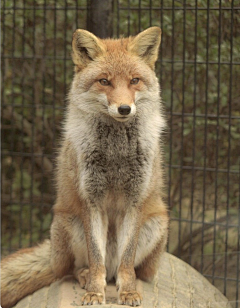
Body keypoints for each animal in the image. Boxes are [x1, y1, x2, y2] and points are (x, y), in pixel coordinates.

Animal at [1, 27, 169, 308]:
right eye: (104, 81)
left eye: (134, 80)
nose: (125, 108)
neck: (115, 153)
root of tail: (52, 255)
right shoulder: (91, 201)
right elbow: (95, 258)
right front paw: (94, 292)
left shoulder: (135, 201)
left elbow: (127, 261)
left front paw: (128, 291)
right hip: (69, 223)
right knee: (71, 270)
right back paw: (83, 276)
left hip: (157, 224)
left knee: (131, 270)